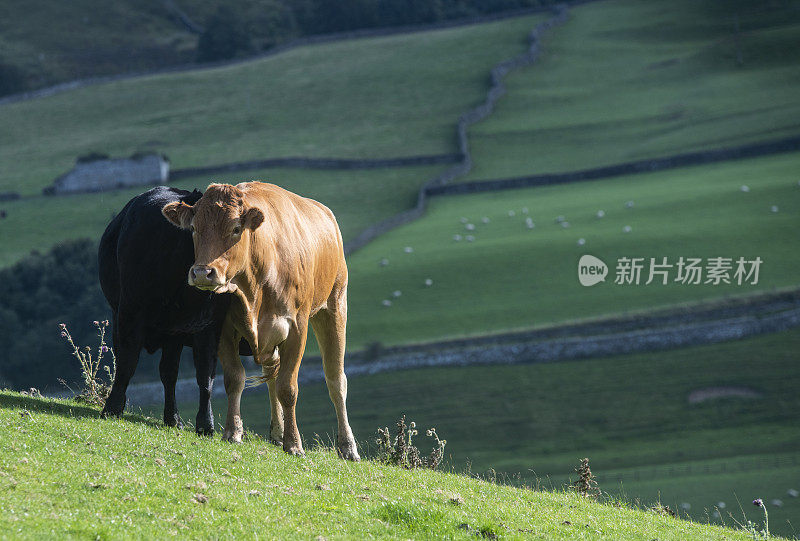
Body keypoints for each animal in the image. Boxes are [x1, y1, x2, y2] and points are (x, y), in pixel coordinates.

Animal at [97, 186, 234, 434]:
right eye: (195, 229)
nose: (207, 272)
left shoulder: (208, 326)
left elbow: (205, 376)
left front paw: (205, 424)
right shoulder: (130, 313)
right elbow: (127, 362)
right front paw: (112, 407)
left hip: (174, 332)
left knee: (169, 372)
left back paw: (173, 418)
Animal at [162, 182, 360, 460]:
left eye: (236, 228)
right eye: (193, 228)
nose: (202, 272)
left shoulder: (297, 328)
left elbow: (288, 387)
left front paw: (294, 443)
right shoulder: (224, 328)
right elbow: (235, 379)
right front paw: (232, 432)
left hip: (334, 304)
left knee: (336, 379)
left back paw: (348, 446)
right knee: (271, 374)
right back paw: (277, 432)